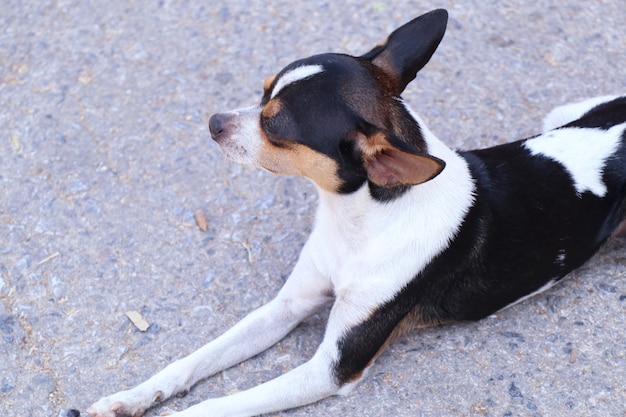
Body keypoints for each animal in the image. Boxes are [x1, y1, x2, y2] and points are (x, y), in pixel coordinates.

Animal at [89, 8, 624, 416]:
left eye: (274, 126)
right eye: (262, 92)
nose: (213, 122)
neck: (360, 220)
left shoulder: (332, 367)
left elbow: (221, 404)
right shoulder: (286, 308)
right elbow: (194, 359)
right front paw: (131, 398)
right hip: (559, 114)